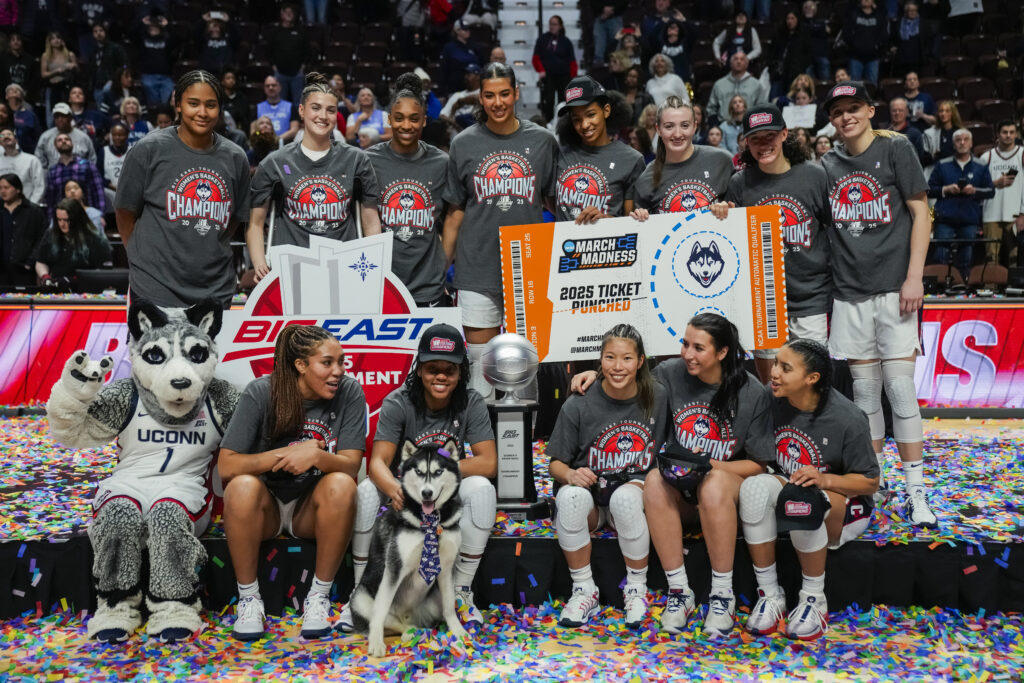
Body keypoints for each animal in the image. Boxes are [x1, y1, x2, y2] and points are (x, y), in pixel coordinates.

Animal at [350, 440, 466, 659]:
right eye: (419, 472)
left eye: (438, 471)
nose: (426, 493)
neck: (431, 519)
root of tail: (408, 616)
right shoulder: (395, 566)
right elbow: (380, 610)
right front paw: (376, 643)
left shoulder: (446, 568)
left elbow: (449, 606)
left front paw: (458, 631)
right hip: (360, 599)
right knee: (388, 620)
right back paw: (408, 632)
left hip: (433, 599)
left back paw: (420, 631)